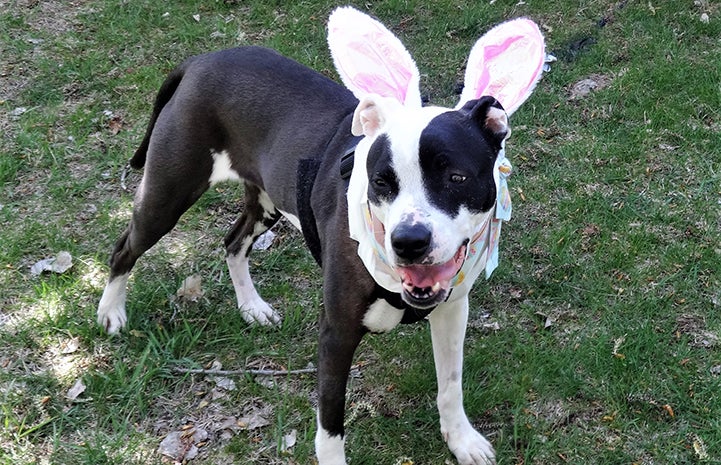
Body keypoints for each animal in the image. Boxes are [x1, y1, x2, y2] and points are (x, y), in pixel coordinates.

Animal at [98, 7, 544, 464]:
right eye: (381, 182)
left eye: (456, 177)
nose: (409, 241)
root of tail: (201, 60)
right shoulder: (336, 336)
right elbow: (331, 425)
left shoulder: (453, 309)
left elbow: (450, 385)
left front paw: (461, 439)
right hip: (167, 195)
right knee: (123, 249)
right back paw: (111, 312)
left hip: (266, 202)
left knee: (233, 242)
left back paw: (252, 307)